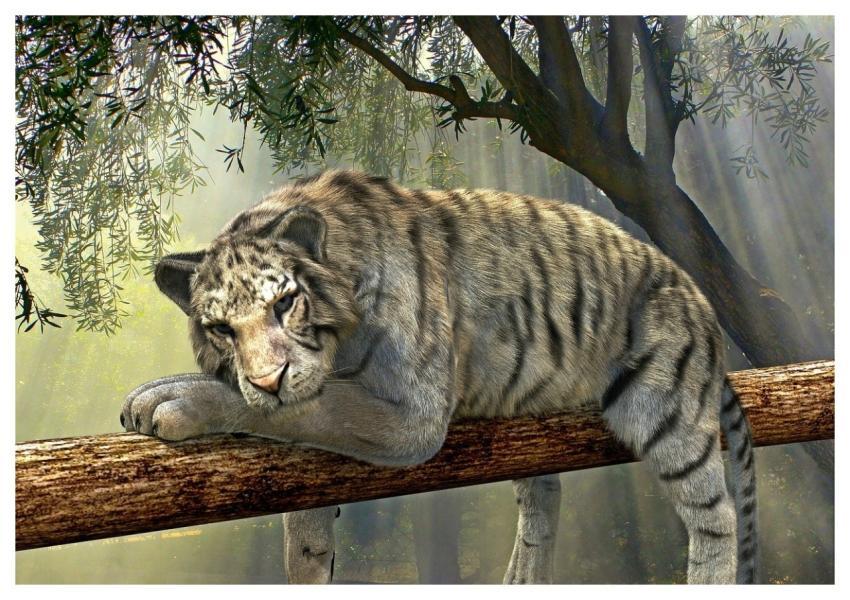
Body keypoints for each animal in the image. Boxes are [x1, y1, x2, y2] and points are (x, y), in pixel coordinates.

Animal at [121, 169, 758, 584]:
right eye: (221, 329)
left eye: (284, 304)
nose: (269, 379)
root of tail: (699, 298)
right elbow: (304, 514)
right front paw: (309, 562)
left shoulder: (411, 417)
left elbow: (311, 409)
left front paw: (170, 399)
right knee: (544, 493)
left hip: (666, 413)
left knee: (716, 519)